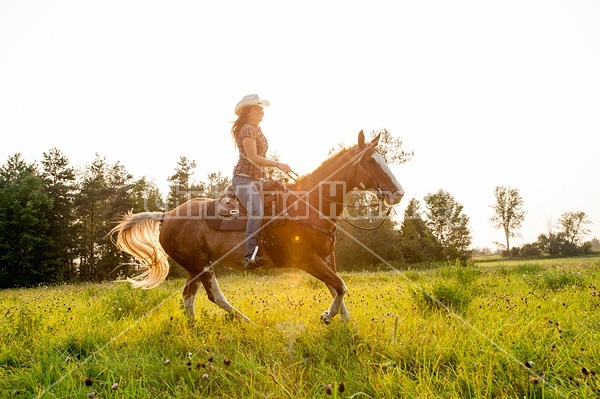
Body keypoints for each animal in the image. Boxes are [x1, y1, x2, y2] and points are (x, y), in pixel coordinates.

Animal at [110, 131, 406, 324]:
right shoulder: (307, 259)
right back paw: (243, 321)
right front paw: (327, 316)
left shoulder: (327, 256)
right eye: (371, 161)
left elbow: (336, 287)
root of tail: (167, 215)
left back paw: (198, 328)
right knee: (213, 296)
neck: (309, 204)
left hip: (196, 267)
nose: (399, 193)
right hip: (199, 265)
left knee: (190, 297)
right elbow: (340, 285)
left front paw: (344, 320)